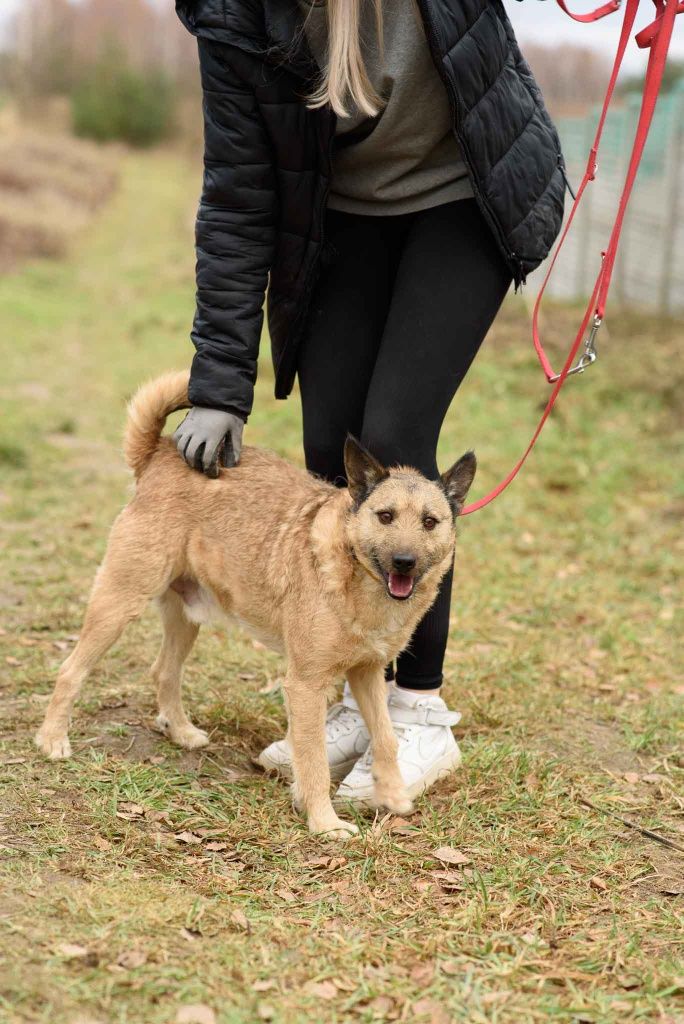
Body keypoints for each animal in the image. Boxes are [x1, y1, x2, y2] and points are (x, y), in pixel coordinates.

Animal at [34, 372, 475, 835]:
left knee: (163, 672)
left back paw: (182, 732)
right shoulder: (304, 685)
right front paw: (324, 822)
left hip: (185, 619)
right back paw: (52, 739)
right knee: (70, 671)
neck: (355, 577)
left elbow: (386, 737)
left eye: (430, 522)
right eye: (385, 516)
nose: (405, 562)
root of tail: (159, 454)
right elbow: (313, 759)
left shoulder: (367, 673)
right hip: (119, 603)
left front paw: (391, 794)